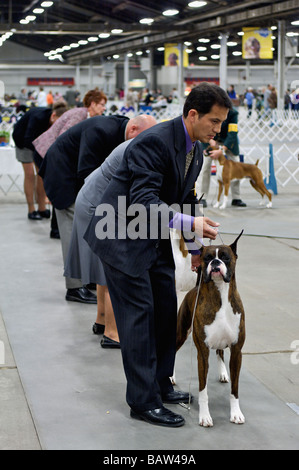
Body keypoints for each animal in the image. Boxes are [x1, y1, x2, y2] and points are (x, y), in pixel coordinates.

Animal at [176, 230, 246, 426]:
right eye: (207, 258)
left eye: (225, 257)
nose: (215, 262)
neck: (220, 292)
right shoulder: (203, 352)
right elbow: (203, 390)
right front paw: (204, 416)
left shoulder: (237, 351)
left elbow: (235, 390)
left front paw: (236, 413)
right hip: (181, 332)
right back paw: (171, 377)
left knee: (220, 352)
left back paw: (223, 373)